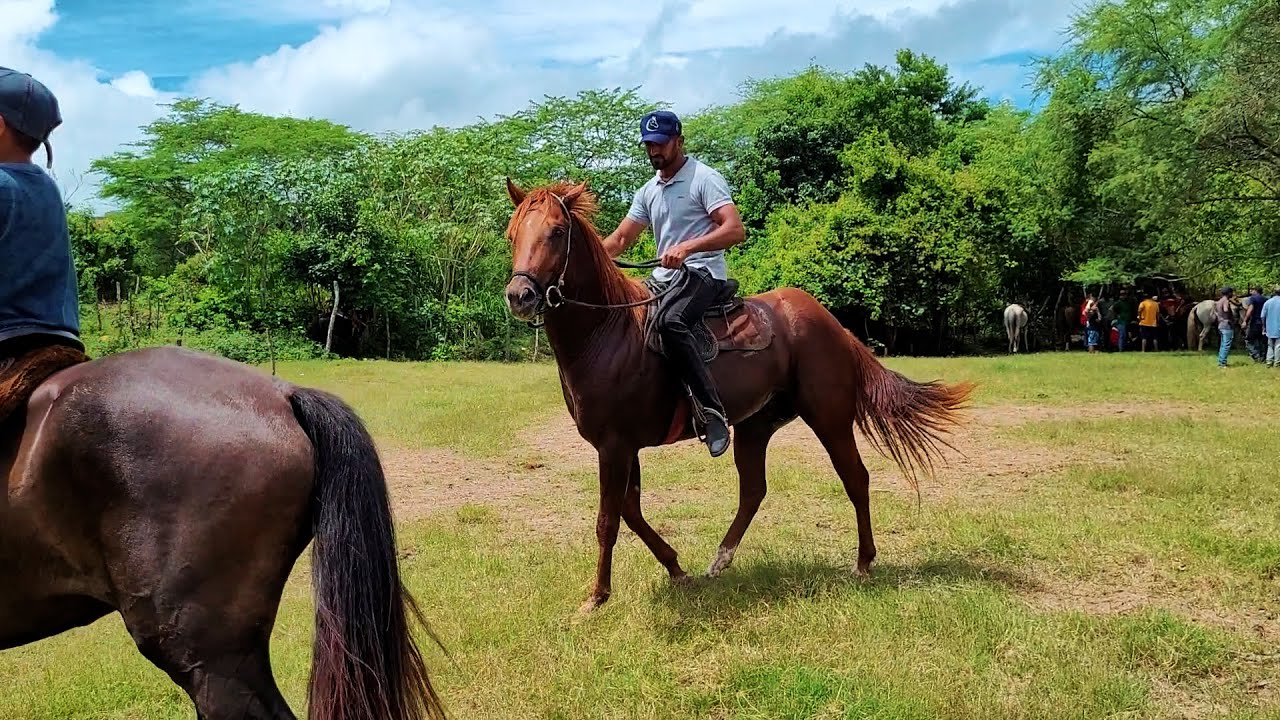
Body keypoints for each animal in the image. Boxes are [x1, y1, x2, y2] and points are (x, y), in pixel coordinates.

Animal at [501, 179, 974, 613]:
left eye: (557, 231)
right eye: (512, 233)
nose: (519, 295)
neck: (608, 333)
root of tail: (833, 324)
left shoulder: (614, 446)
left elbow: (609, 520)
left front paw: (596, 597)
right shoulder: (623, 446)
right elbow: (630, 512)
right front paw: (676, 569)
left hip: (830, 418)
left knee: (855, 478)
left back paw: (863, 563)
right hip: (755, 425)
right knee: (753, 491)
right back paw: (720, 559)